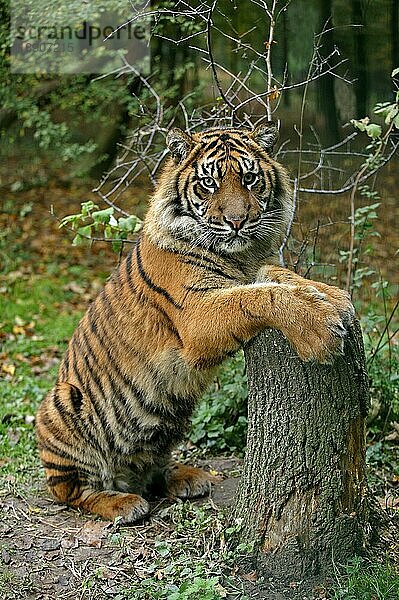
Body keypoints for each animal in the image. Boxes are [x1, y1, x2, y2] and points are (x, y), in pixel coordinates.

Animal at [35, 124, 354, 524]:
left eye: (249, 179)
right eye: (209, 183)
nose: (237, 222)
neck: (239, 256)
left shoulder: (257, 267)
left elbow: (284, 278)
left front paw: (335, 298)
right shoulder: (197, 312)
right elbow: (258, 297)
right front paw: (322, 329)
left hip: (169, 421)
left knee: (151, 467)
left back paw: (186, 478)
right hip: (62, 401)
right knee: (74, 492)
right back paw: (122, 504)